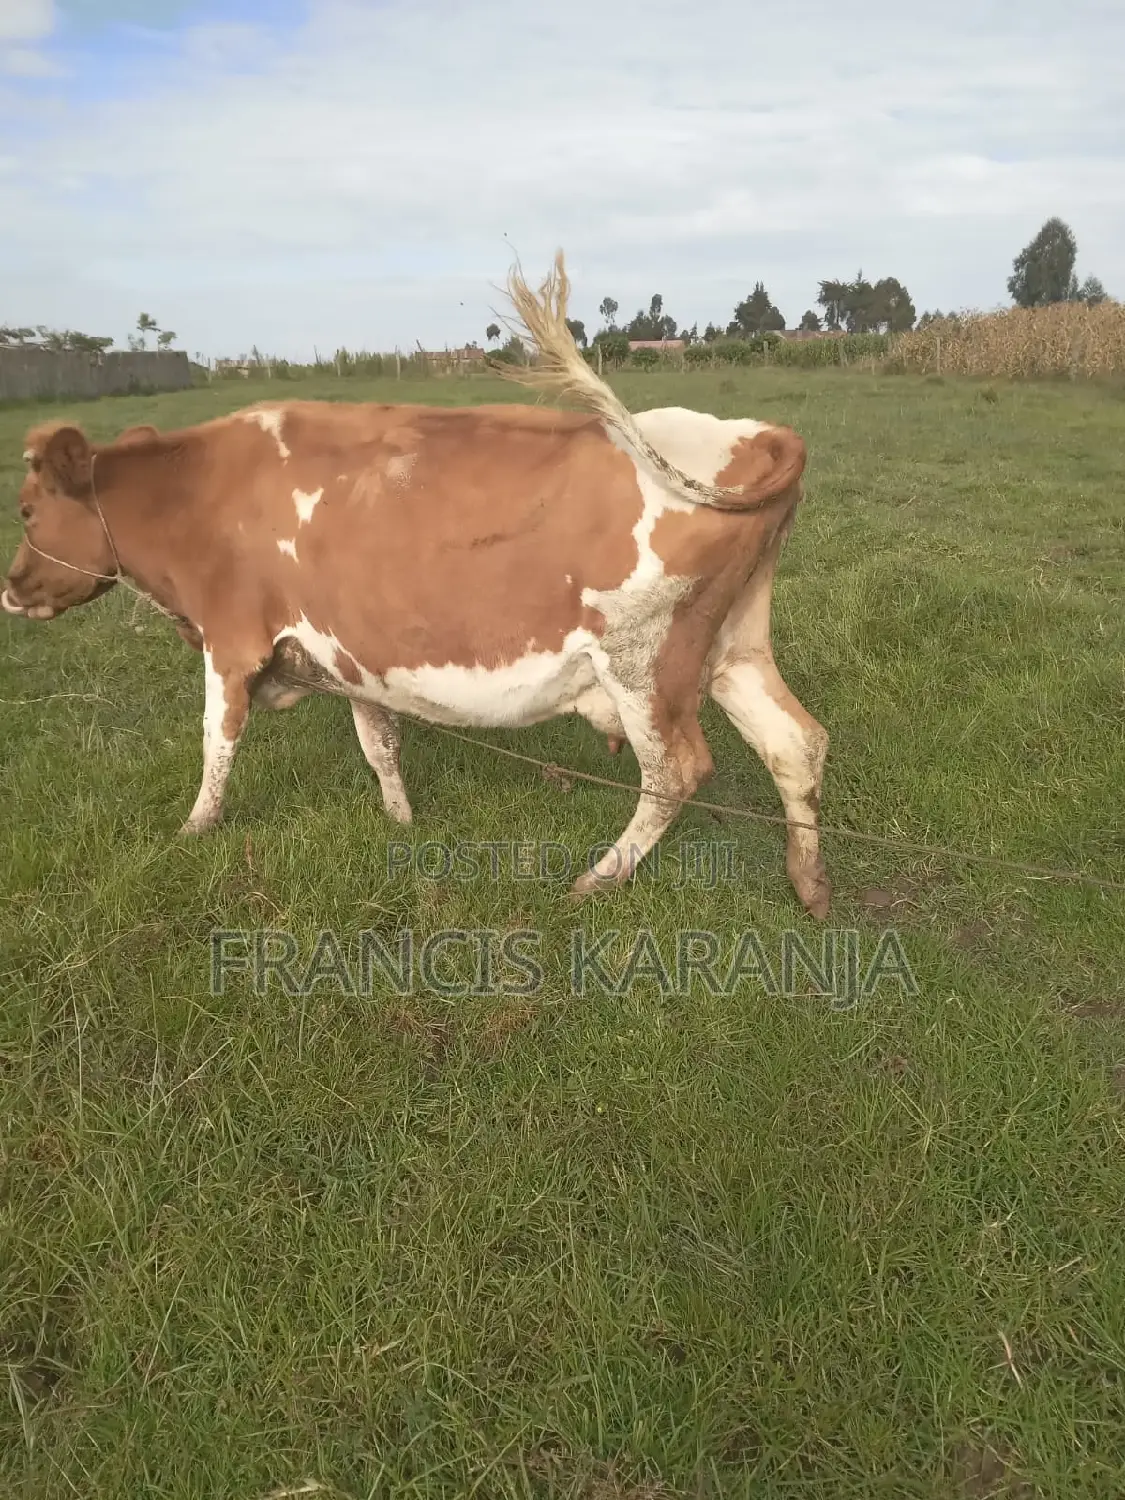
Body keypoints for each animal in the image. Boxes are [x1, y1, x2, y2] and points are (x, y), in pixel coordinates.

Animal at [1, 252, 831, 917]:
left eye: (26, 509)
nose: (10, 589)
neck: (196, 492)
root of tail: (754, 434)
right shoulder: (347, 649)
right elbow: (380, 743)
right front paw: (400, 821)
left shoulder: (229, 641)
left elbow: (217, 746)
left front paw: (194, 829)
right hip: (730, 647)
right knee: (796, 742)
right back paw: (808, 885)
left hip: (641, 661)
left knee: (674, 772)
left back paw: (599, 877)